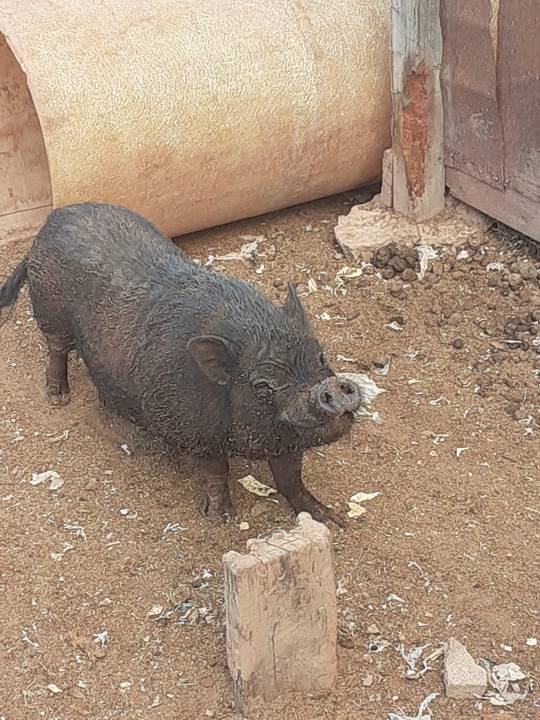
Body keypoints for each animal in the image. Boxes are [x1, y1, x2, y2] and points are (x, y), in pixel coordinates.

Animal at [0, 203, 362, 526]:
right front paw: (220, 519)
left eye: (320, 356)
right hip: (50, 310)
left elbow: (291, 478)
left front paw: (333, 521)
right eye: (263, 385)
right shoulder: (196, 430)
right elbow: (218, 470)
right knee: (56, 348)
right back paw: (58, 397)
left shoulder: (285, 434)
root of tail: (53, 219)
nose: (330, 386)